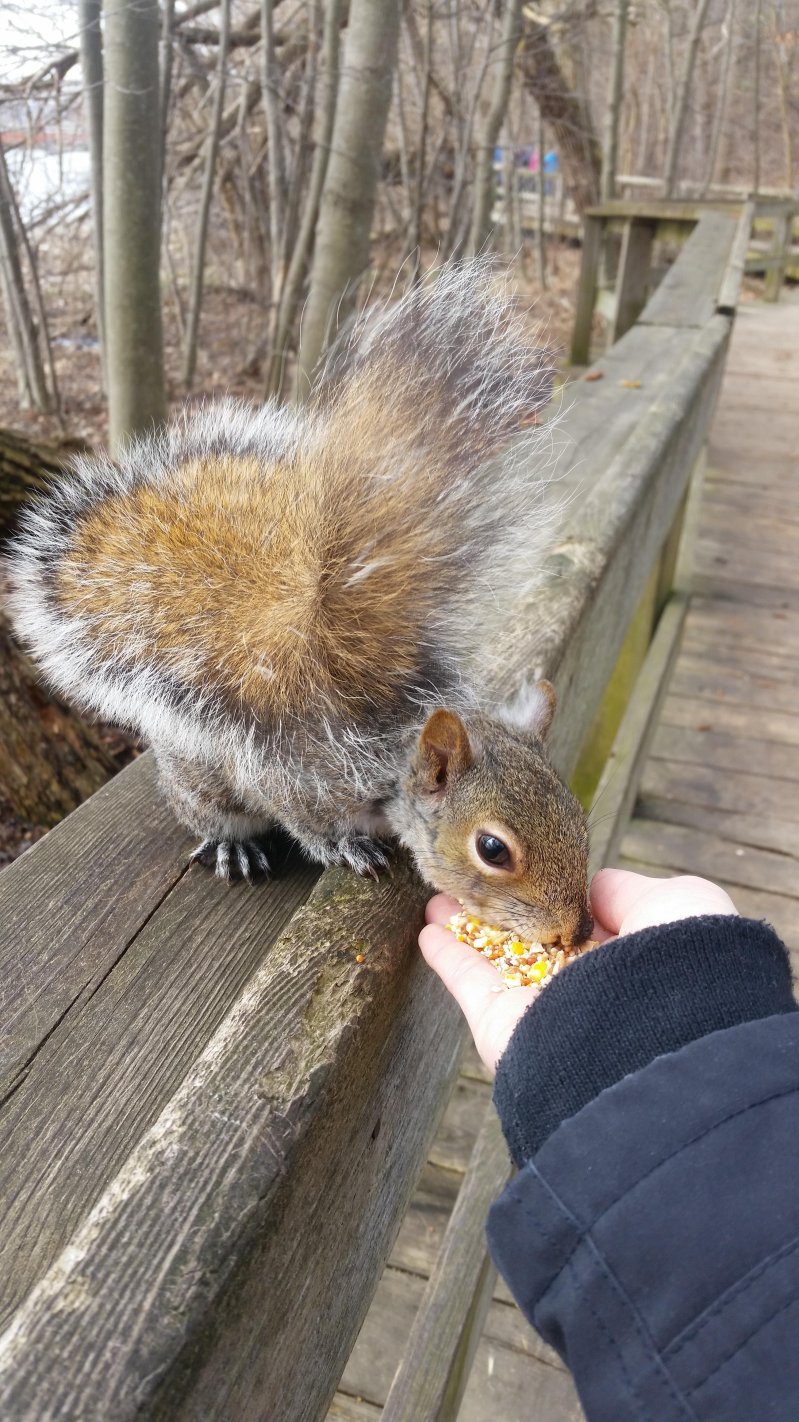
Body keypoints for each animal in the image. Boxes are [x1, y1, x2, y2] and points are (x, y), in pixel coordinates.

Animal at [6, 264, 591, 955]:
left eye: (578, 814)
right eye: (493, 849)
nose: (574, 930)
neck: (391, 758)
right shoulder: (295, 776)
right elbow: (308, 820)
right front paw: (347, 847)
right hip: (204, 788)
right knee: (215, 816)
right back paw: (232, 847)